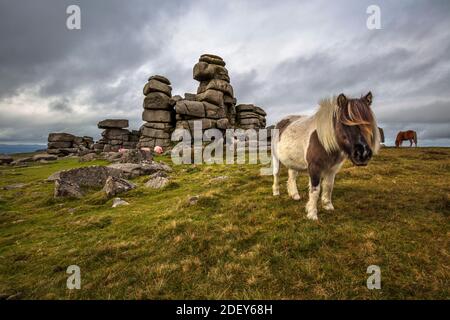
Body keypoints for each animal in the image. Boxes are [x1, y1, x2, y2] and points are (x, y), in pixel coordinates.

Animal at [270, 91, 380, 219]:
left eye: (369, 123)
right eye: (345, 123)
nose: (363, 154)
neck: (322, 140)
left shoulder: (332, 169)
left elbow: (328, 186)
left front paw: (327, 206)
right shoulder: (314, 167)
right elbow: (315, 189)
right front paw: (312, 214)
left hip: (293, 160)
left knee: (292, 177)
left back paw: (295, 195)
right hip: (276, 158)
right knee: (276, 174)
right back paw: (276, 192)